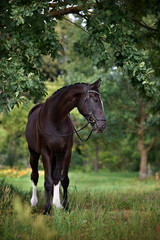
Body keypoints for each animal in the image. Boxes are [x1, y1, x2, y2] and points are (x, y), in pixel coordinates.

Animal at [25, 79, 106, 214]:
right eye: (95, 100)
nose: (102, 126)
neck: (55, 118)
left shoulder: (66, 152)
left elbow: (63, 179)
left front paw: (64, 206)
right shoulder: (45, 153)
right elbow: (47, 181)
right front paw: (47, 209)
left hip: (56, 155)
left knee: (55, 177)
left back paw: (56, 203)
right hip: (34, 153)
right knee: (35, 176)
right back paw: (34, 202)